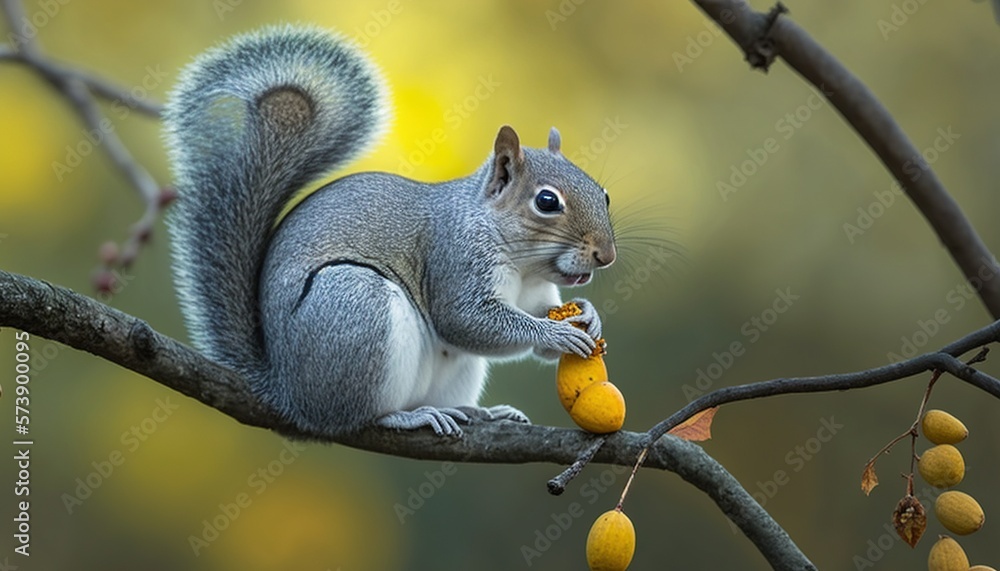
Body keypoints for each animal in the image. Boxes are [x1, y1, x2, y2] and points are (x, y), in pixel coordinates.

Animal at [163, 25, 612, 438]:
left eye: (603, 193)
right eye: (547, 202)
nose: (606, 256)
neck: (523, 265)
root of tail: (290, 394)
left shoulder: (535, 295)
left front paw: (588, 315)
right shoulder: (455, 258)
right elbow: (467, 321)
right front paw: (556, 331)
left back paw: (480, 412)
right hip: (357, 306)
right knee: (355, 418)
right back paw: (406, 416)